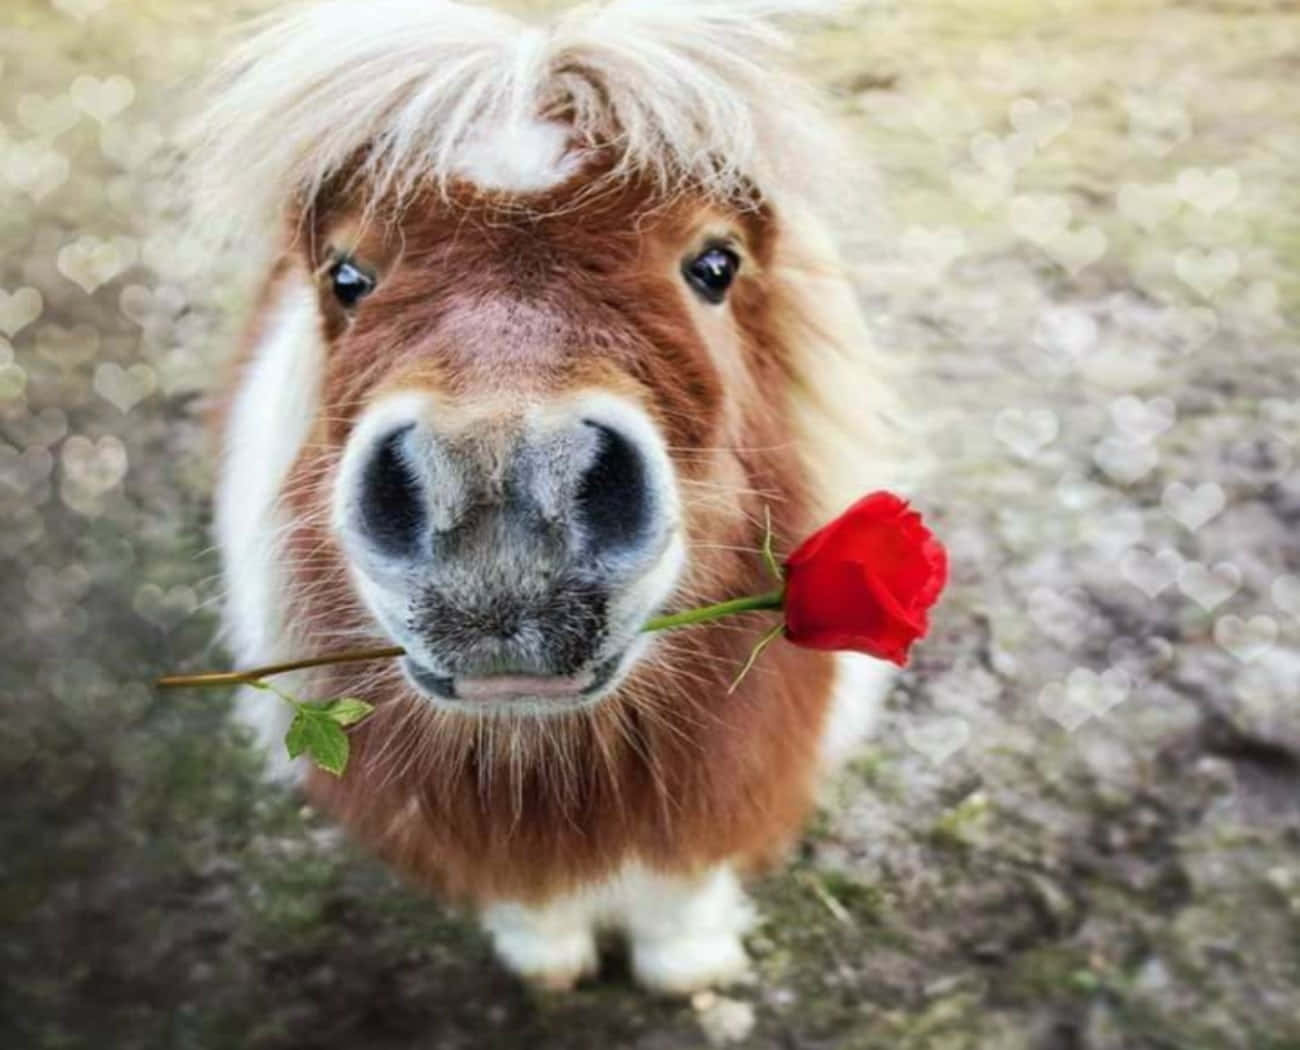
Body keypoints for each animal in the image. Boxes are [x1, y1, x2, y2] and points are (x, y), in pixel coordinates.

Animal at [194, 0, 903, 993]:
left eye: (715, 265)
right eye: (346, 276)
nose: (496, 495)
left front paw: (687, 964)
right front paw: (547, 959)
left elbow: (682, 884)